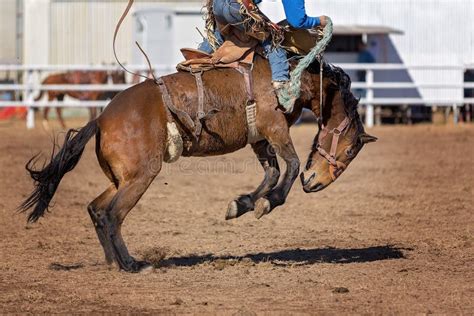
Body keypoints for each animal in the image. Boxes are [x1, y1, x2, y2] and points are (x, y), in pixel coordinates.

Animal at [19, 57, 378, 274]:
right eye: (349, 151)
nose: (314, 183)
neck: (293, 80)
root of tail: (102, 118)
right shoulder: (274, 128)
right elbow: (288, 166)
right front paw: (266, 203)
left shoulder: (259, 138)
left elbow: (272, 171)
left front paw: (241, 204)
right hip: (140, 177)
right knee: (111, 215)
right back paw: (132, 264)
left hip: (121, 178)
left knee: (95, 208)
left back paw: (112, 262)